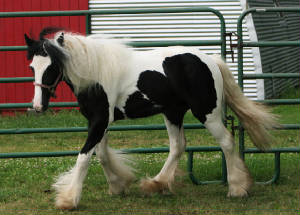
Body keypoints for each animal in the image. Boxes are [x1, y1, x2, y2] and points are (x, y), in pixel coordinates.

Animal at [24, 27, 278, 209]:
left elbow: (84, 157)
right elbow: (102, 155)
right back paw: (156, 184)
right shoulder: (99, 122)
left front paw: (68, 199)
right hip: (173, 113)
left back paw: (237, 189)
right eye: (32, 67)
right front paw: (118, 185)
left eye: (52, 66)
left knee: (226, 142)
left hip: (207, 113)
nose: (37, 106)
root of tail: (210, 60)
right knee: (178, 146)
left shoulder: (99, 121)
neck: (94, 73)